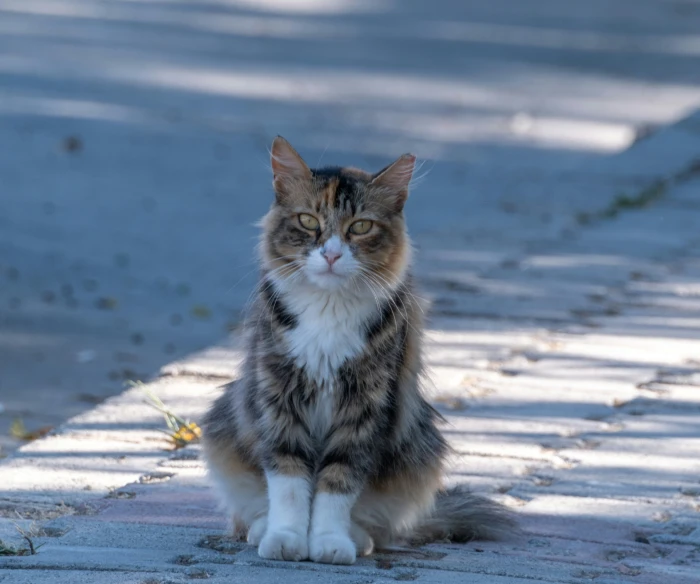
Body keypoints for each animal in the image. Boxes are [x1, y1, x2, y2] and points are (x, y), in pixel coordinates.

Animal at [202, 137, 516, 564]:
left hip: (420, 448)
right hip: (225, 427)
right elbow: (288, 481)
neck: (328, 310)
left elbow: (338, 482)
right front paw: (287, 538)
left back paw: (357, 538)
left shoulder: (365, 405)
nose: (332, 255)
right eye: (308, 222)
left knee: (375, 522)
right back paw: (262, 529)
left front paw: (328, 542)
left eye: (361, 227)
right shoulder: (279, 396)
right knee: (249, 508)